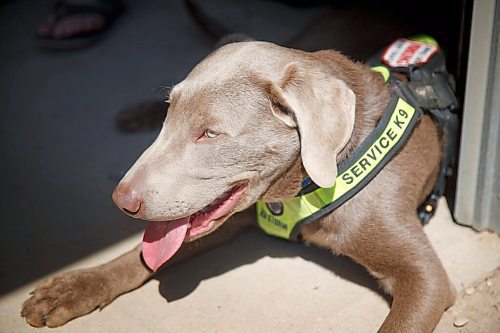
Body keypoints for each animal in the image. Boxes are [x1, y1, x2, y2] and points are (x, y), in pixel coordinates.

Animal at [21, 40, 456, 330]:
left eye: (210, 133)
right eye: (169, 116)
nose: (121, 199)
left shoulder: (425, 278)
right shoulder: (240, 215)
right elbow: (139, 256)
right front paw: (72, 288)